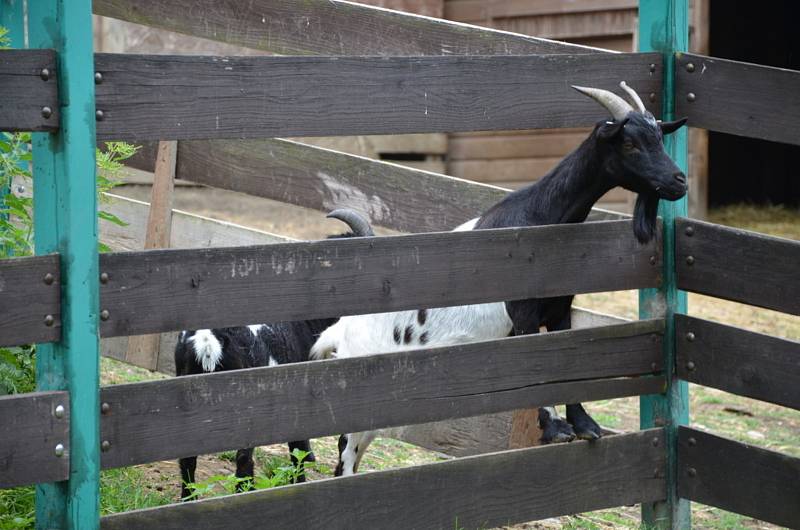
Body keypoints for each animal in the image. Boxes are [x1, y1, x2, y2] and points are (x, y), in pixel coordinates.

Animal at [310, 81, 688, 474]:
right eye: (630, 143)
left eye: (660, 137)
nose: (679, 181)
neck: (537, 218)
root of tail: (342, 328)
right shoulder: (522, 313)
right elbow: (536, 367)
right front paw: (556, 428)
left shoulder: (559, 311)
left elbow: (567, 364)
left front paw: (584, 424)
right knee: (345, 447)